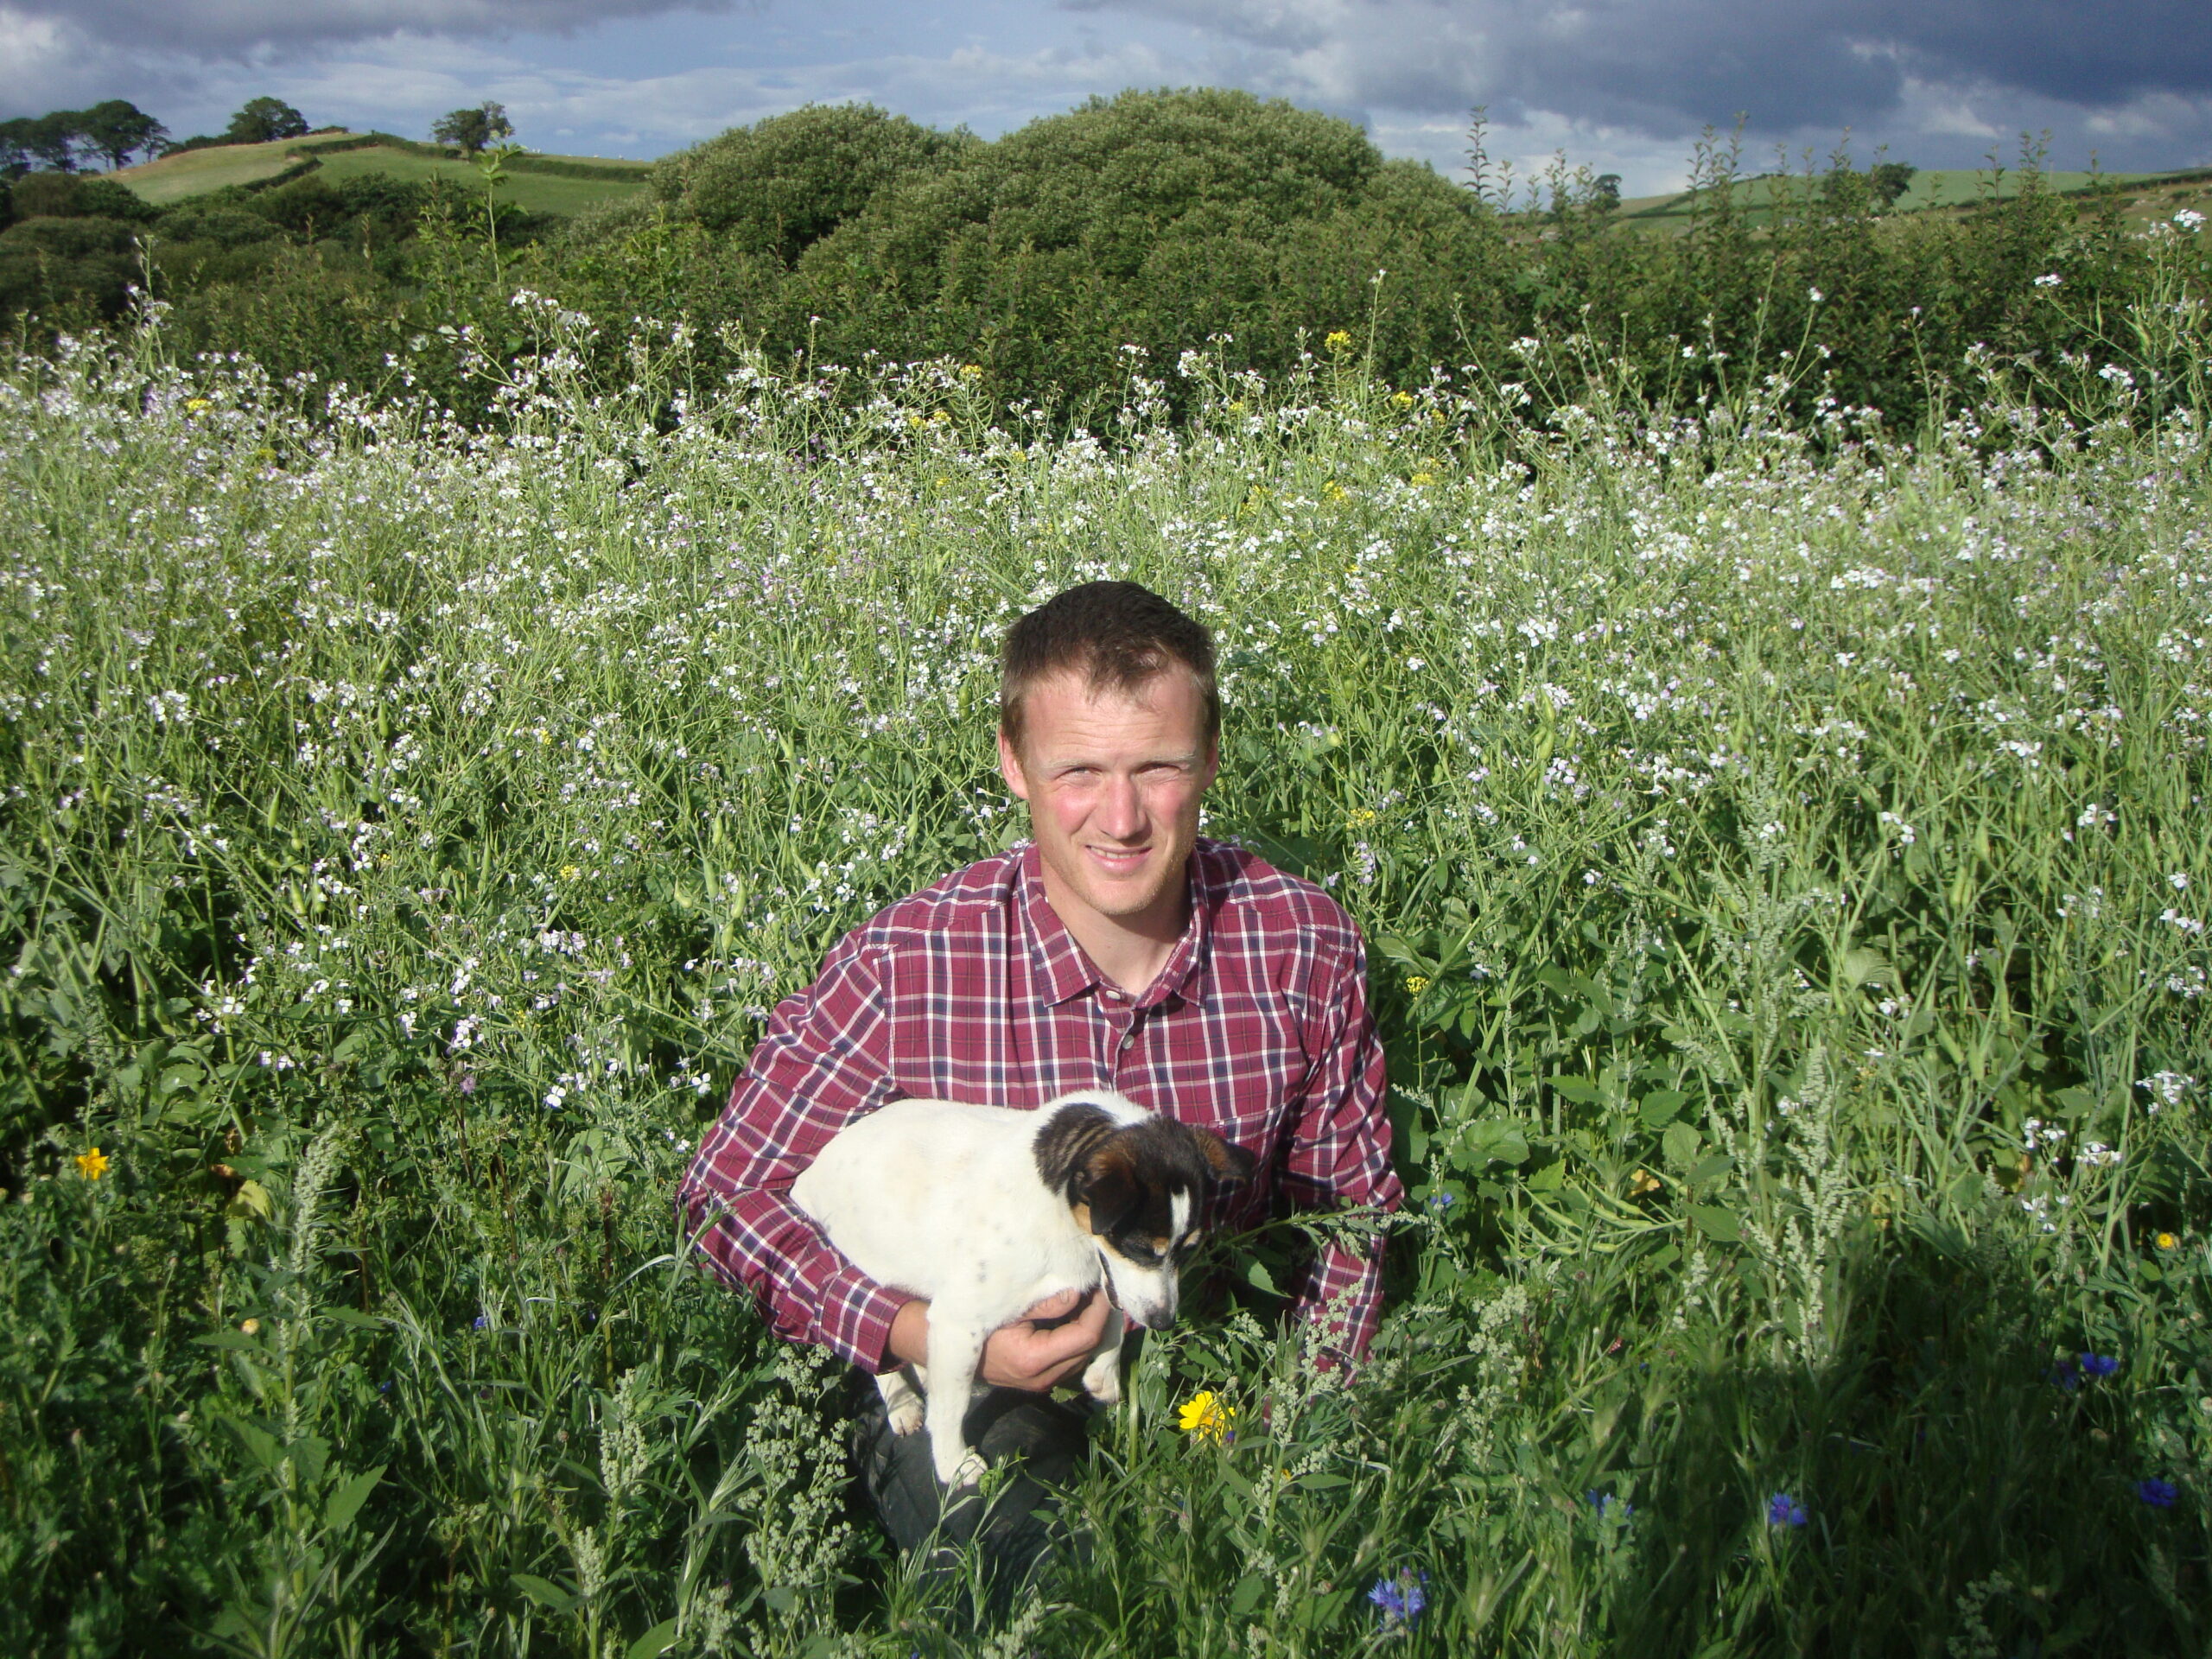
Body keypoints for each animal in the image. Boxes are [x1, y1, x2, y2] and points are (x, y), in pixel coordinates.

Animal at [796, 1092, 1256, 1495]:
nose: (1164, 1322)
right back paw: (905, 1402)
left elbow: (1112, 1309)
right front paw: (952, 1463)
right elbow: (951, 1407)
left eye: (1189, 1249)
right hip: (870, 1259)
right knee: (872, 1342)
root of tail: (808, 1176)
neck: (1059, 1212)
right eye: (1142, 1248)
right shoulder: (960, 1322)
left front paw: (1103, 1373)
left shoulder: (1103, 1274)